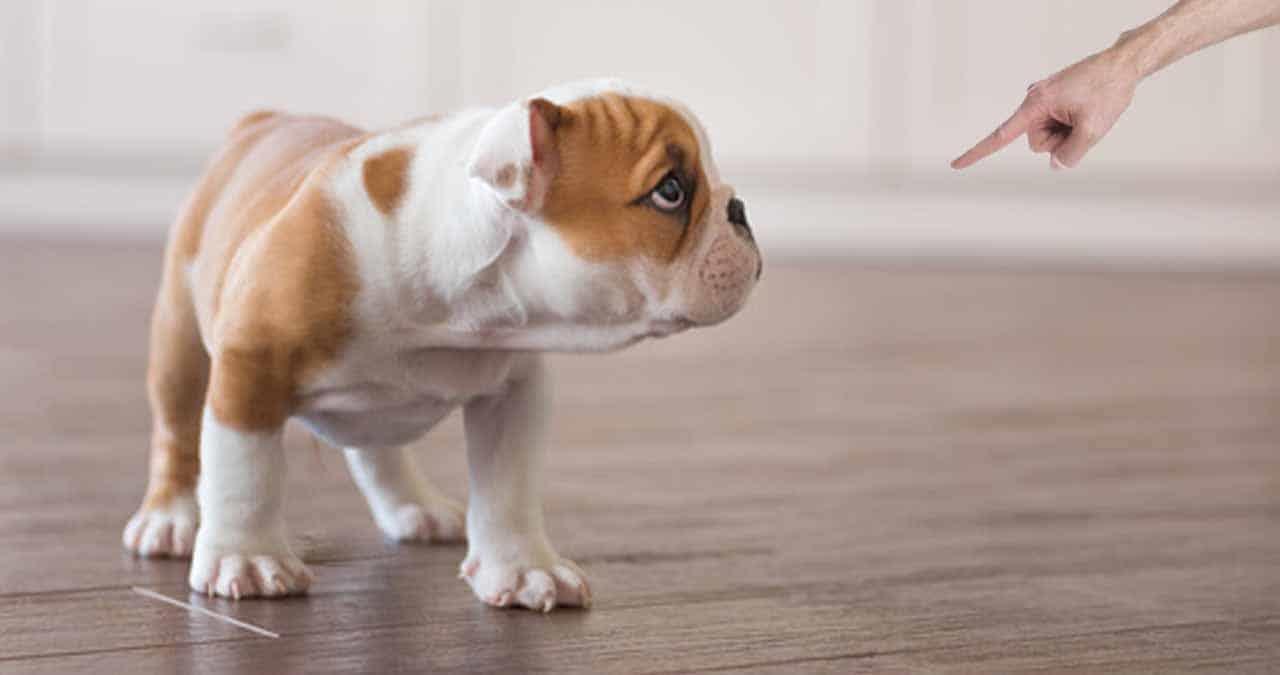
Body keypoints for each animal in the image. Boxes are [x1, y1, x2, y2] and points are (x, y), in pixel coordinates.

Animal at [120, 80, 757, 612]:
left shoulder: (514, 394)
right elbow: (244, 471)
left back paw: (414, 506)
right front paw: (246, 557)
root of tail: (262, 121)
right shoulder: (251, 365)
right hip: (180, 339)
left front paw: (524, 569)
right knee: (177, 431)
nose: (740, 207)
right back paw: (169, 519)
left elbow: (508, 485)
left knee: (374, 447)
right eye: (669, 192)